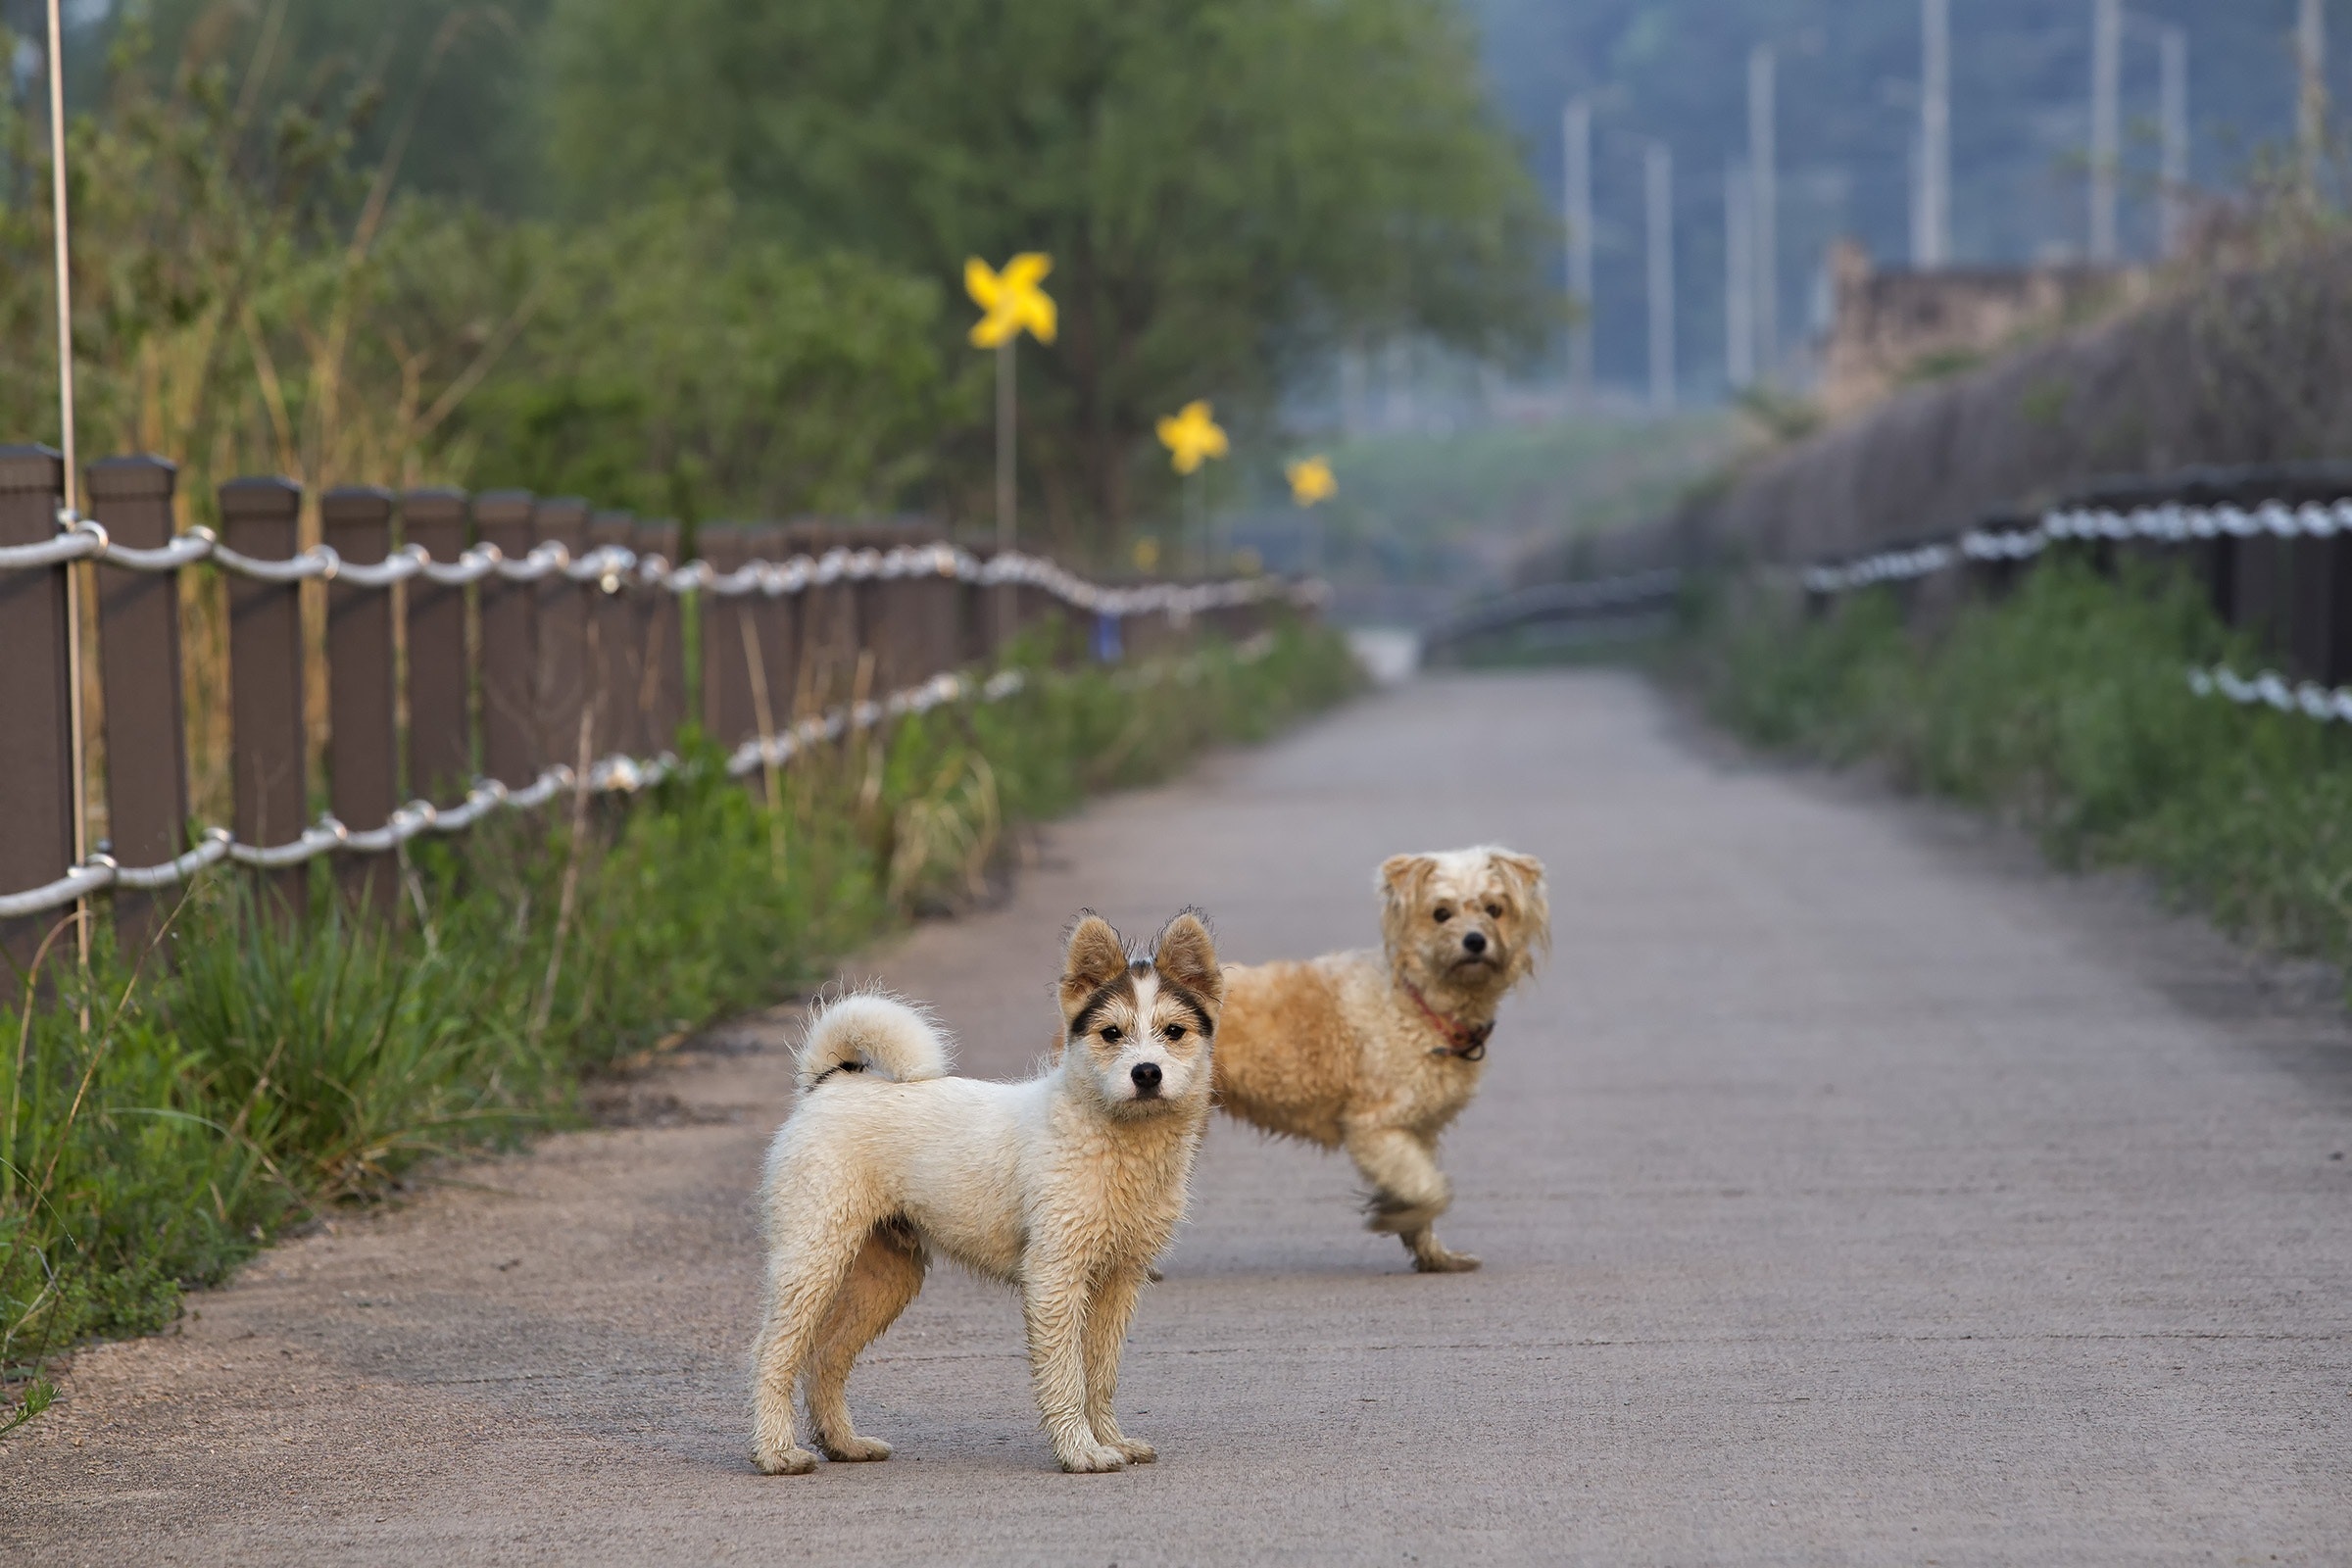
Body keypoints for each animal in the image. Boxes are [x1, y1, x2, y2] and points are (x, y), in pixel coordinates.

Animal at [753, 911, 1232, 1476]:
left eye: (1174, 1032)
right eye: (1111, 1033)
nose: (1146, 1073)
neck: (1109, 1136)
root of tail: (829, 1084)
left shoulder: (1120, 1280)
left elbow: (1101, 1374)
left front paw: (1112, 1440)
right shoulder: (1054, 1277)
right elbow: (1066, 1375)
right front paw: (1081, 1451)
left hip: (884, 1276)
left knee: (826, 1355)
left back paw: (845, 1443)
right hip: (812, 1257)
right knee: (771, 1353)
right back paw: (776, 1451)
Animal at [1213, 846, 1543, 1278]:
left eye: (1494, 909)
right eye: (1441, 913)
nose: (1475, 941)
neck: (1416, 1006)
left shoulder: (1418, 1130)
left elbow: (1422, 1190)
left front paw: (1434, 1255)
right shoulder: (1374, 1128)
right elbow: (1433, 1189)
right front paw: (1394, 1215)